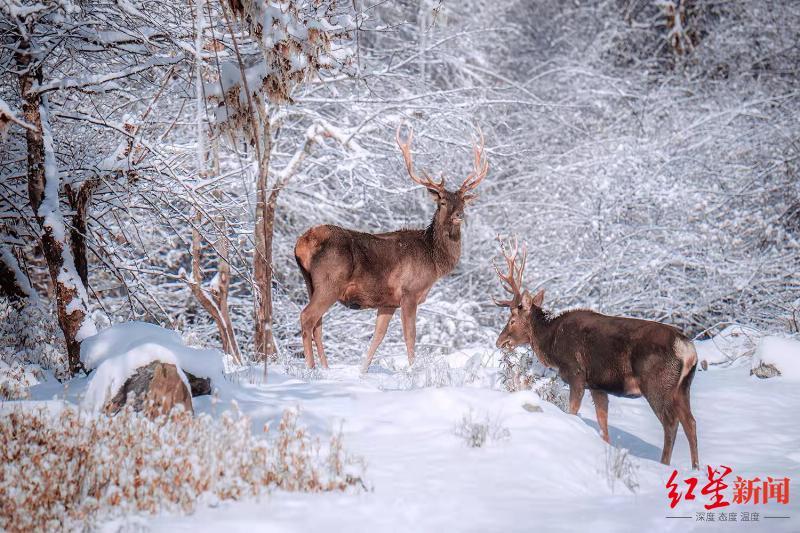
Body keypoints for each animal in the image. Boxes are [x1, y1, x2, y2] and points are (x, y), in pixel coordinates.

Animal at [294, 126, 488, 370]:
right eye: (442, 201)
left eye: (463, 201)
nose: (459, 215)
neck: (434, 261)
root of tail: (302, 243)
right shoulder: (409, 292)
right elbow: (410, 336)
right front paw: (413, 370)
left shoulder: (388, 302)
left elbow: (378, 337)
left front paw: (362, 371)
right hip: (330, 281)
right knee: (307, 317)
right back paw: (312, 369)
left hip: (310, 283)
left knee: (317, 324)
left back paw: (326, 369)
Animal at [490, 239, 696, 468]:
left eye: (512, 320)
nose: (500, 341)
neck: (551, 343)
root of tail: (686, 348)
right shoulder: (598, 386)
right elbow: (603, 426)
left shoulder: (576, 374)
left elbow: (572, 411)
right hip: (683, 387)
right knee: (690, 422)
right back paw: (696, 467)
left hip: (657, 384)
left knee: (671, 423)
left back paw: (664, 464)